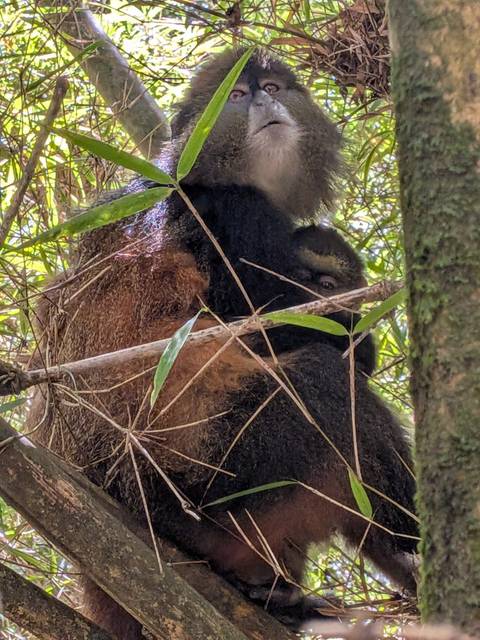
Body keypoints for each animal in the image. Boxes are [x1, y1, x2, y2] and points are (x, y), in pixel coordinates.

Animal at [26, 48, 418, 637]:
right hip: (212, 485)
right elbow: (270, 327)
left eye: (273, 86)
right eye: (237, 94)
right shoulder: (235, 216)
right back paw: (413, 540)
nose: (264, 102)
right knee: (325, 385)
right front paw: (355, 337)